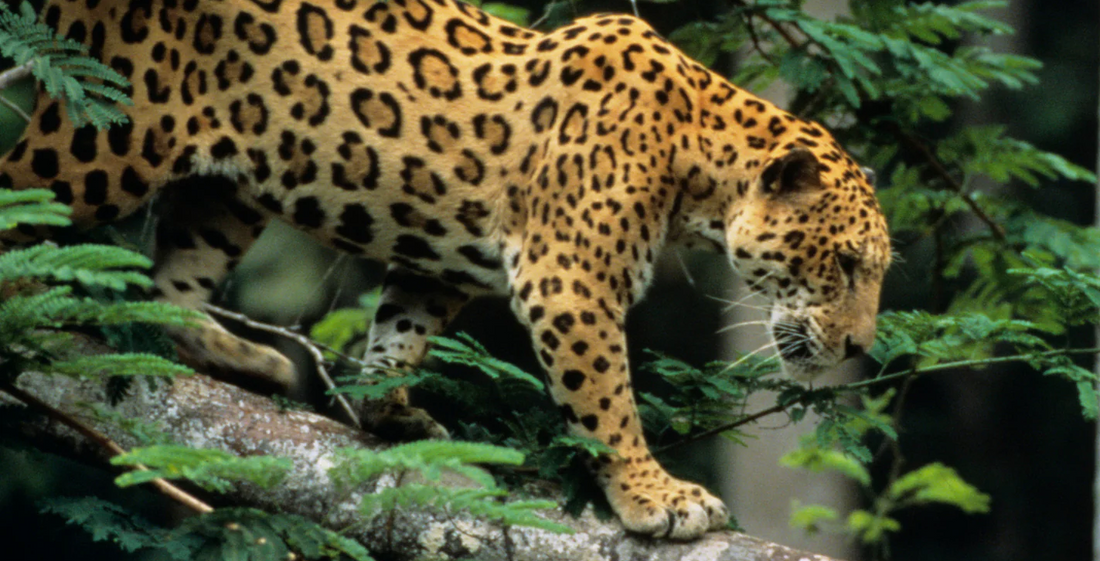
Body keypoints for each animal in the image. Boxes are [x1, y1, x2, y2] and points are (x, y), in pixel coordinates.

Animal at [0, 0, 891, 540]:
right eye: (847, 264)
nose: (858, 348)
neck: (697, 158)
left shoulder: (445, 268)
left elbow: (401, 329)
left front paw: (388, 412)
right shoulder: (569, 282)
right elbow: (607, 402)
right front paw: (656, 497)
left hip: (226, 187)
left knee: (174, 281)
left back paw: (241, 356)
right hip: (112, 131)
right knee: (23, 190)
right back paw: (27, 298)